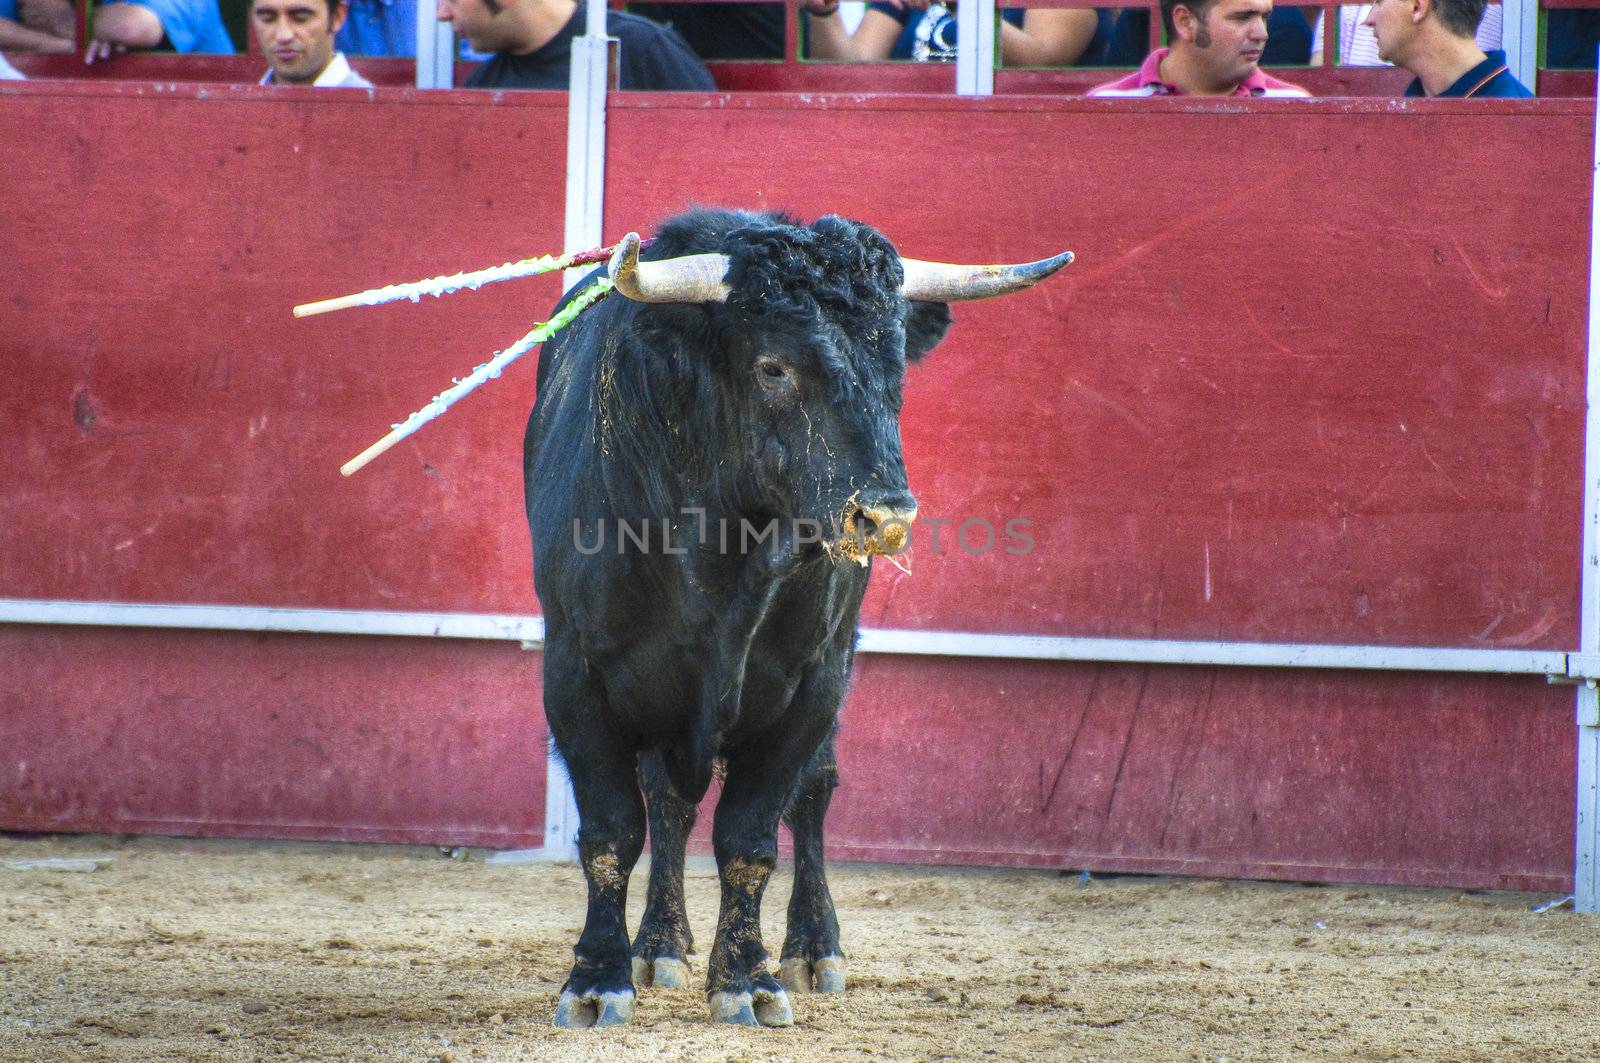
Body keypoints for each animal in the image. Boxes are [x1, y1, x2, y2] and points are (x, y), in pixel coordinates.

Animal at [524, 209, 1068, 1030]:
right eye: (775, 367)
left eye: (896, 365)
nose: (885, 516)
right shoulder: (576, 676)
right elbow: (614, 831)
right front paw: (597, 979)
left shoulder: (812, 685)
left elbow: (751, 836)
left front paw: (746, 980)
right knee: (668, 803)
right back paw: (661, 943)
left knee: (810, 796)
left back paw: (813, 948)